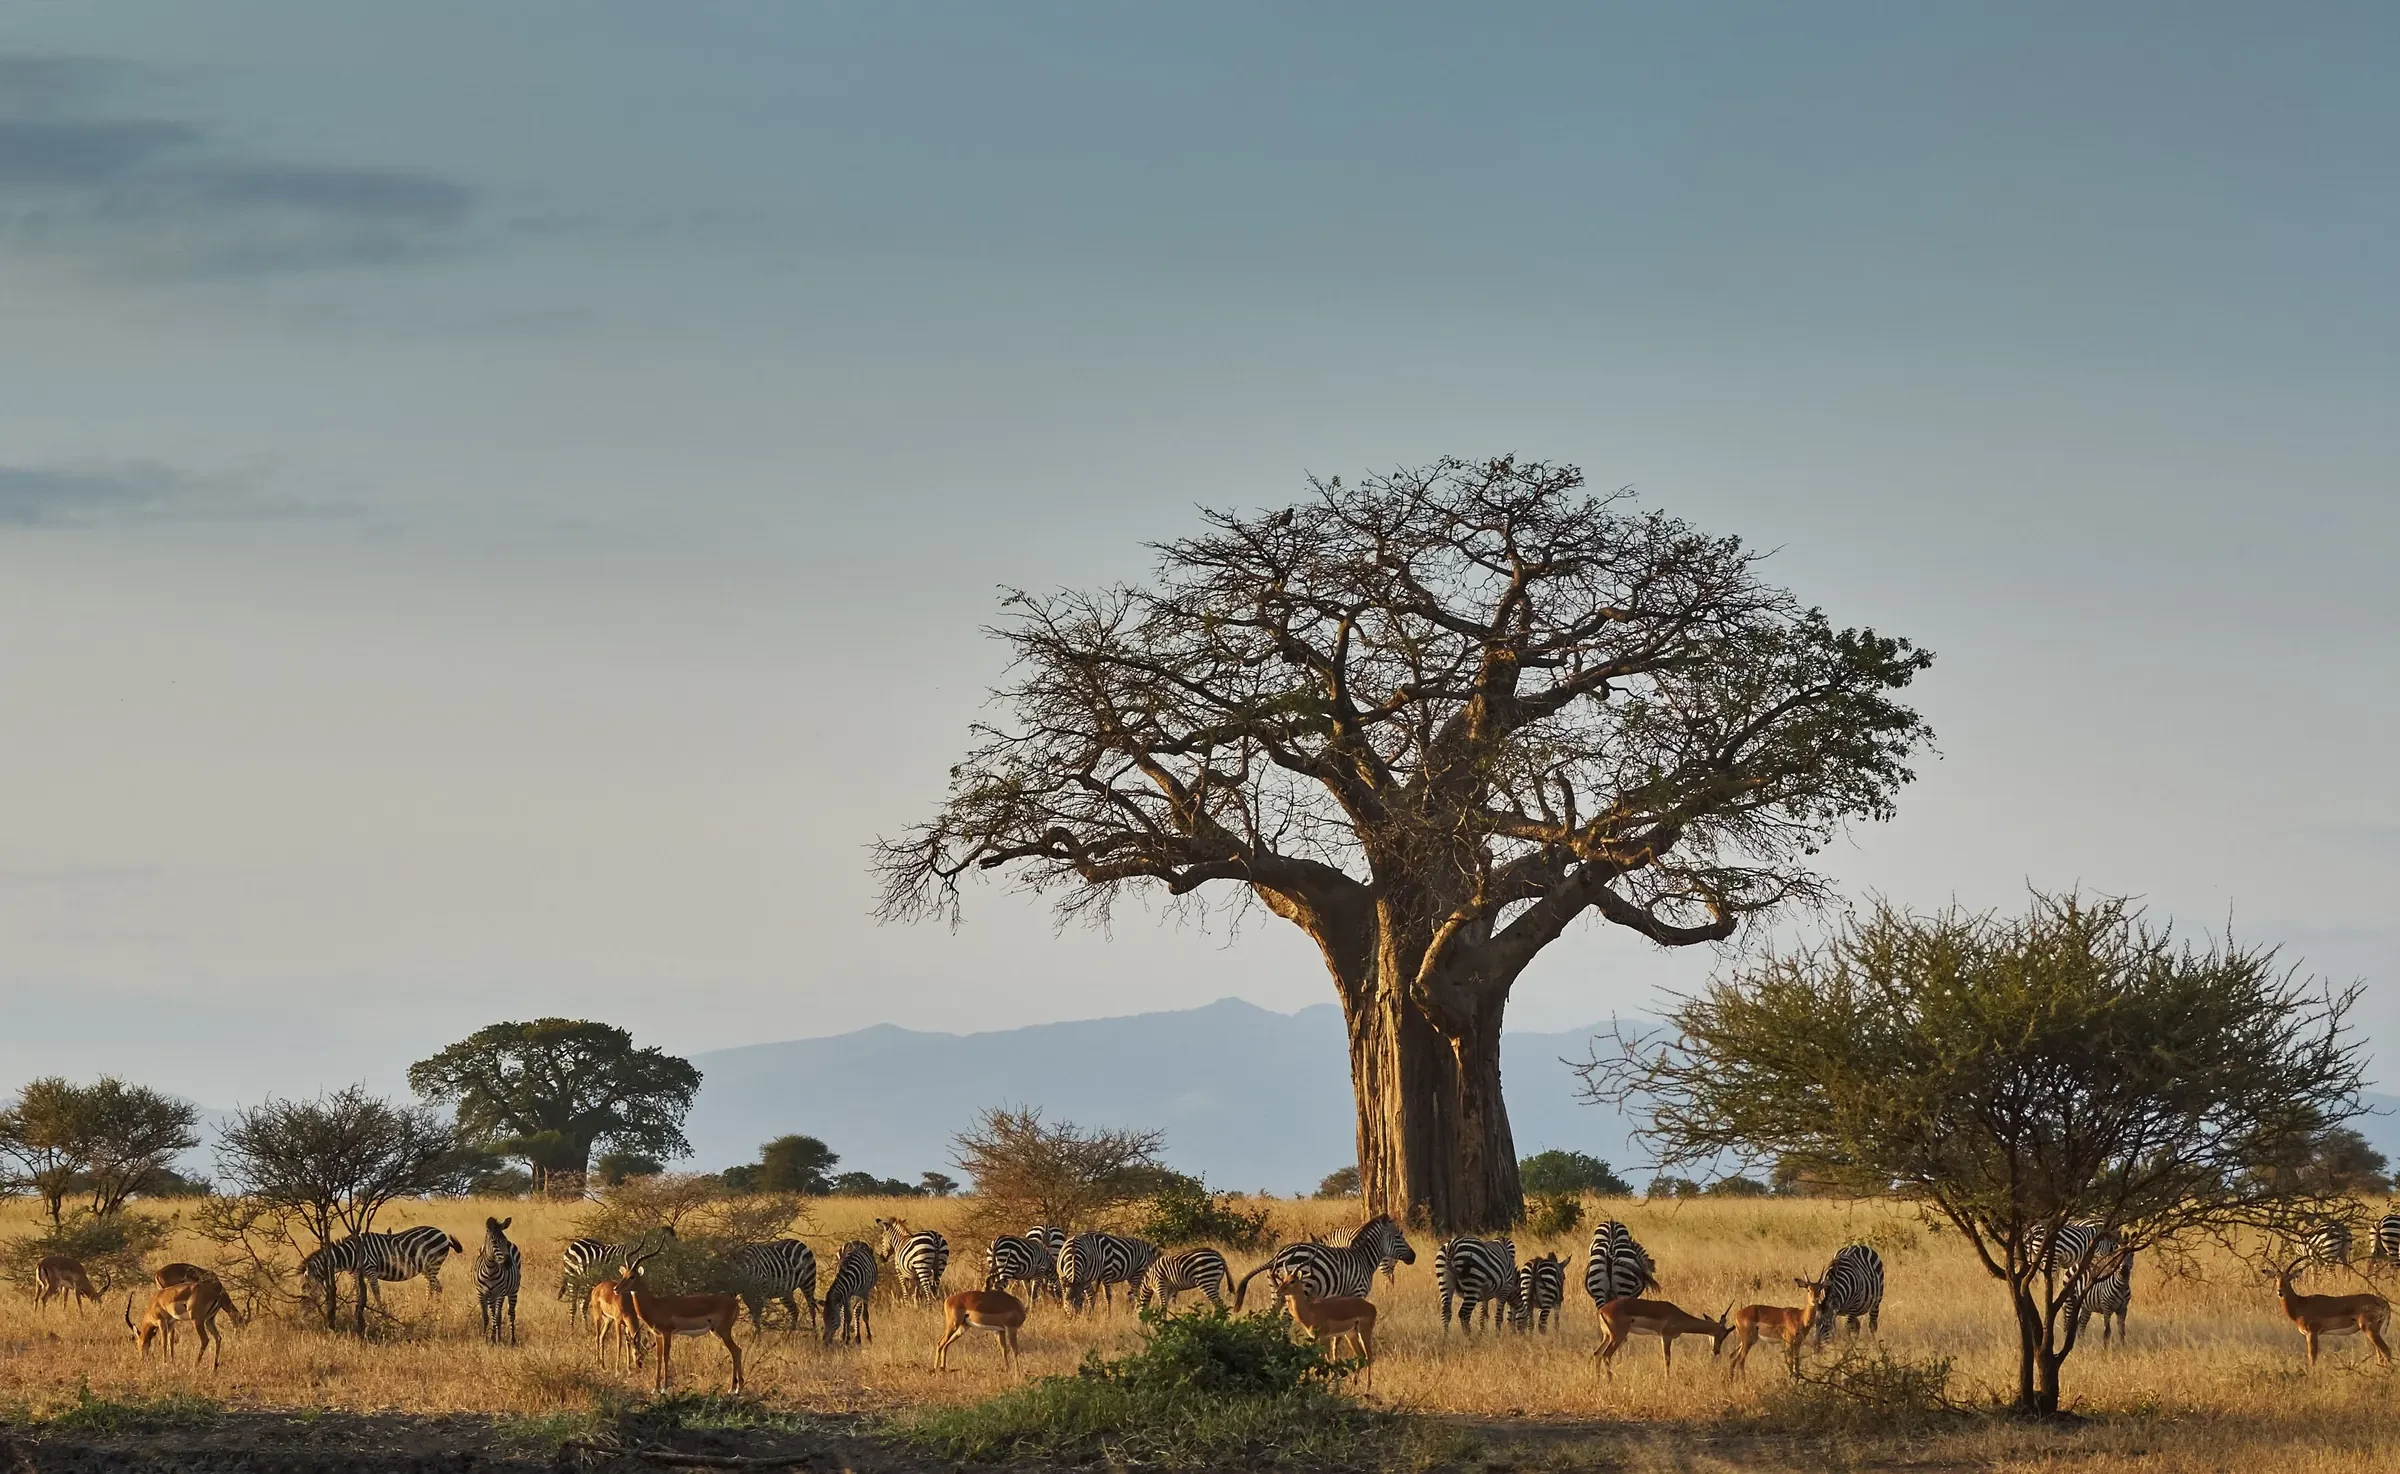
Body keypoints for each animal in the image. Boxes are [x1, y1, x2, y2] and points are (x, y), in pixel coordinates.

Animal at [301, 1225, 467, 1303]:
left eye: (306, 1286)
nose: (308, 1307)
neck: (351, 1254)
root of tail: (442, 1234)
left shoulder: (371, 1270)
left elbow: (376, 1293)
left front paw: (382, 1311)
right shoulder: (357, 1274)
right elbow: (357, 1292)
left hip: (433, 1264)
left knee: (432, 1286)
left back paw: (430, 1306)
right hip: (427, 1268)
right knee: (437, 1286)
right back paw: (434, 1306)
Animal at [473, 1216, 521, 1345]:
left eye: (504, 1240)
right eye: (494, 1241)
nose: (508, 1264)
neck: (490, 1271)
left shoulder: (500, 1293)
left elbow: (497, 1317)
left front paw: (496, 1339)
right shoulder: (481, 1293)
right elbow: (486, 1316)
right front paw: (485, 1338)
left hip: (513, 1291)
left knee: (510, 1314)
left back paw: (512, 1340)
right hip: (491, 1295)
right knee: (493, 1313)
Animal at [1235, 1215, 1416, 1309]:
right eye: (1399, 1236)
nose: (1413, 1257)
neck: (1363, 1256)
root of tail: (1276, 1257)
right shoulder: (1358, 1292)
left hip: (1275, 1292)